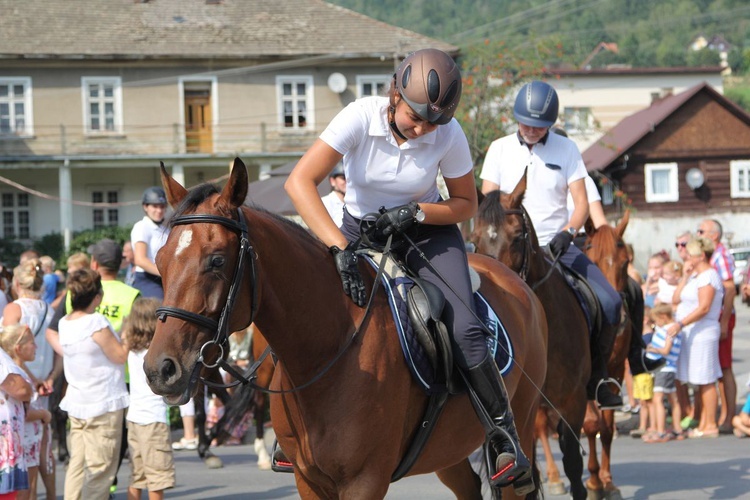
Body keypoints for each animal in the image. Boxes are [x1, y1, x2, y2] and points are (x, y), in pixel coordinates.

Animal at [144, 158, 548, 498]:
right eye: (160, 260)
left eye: (216, 261)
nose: (160, 369)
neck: (328, 347)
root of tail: (518, 284)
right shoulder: (308, 480)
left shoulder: (364, 481)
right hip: (448, 449)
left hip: (522, 430)